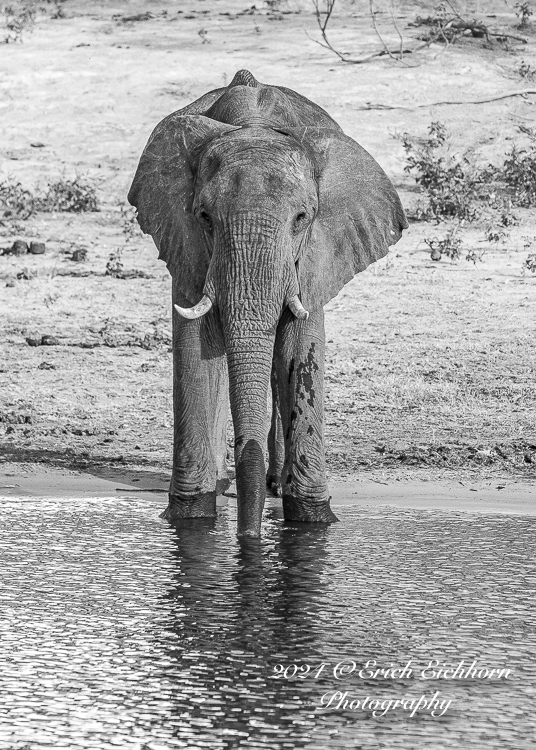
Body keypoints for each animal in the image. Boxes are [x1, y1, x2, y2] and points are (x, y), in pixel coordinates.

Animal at [129, 70, 406, 536]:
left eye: (302, 218)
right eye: (204, 217)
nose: (249, 535)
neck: (254, 126)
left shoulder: (314, 255)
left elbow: (298, 353)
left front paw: (313, 519)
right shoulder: (186, 244)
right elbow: (195, 352)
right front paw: (191, 516)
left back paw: (274, 483)